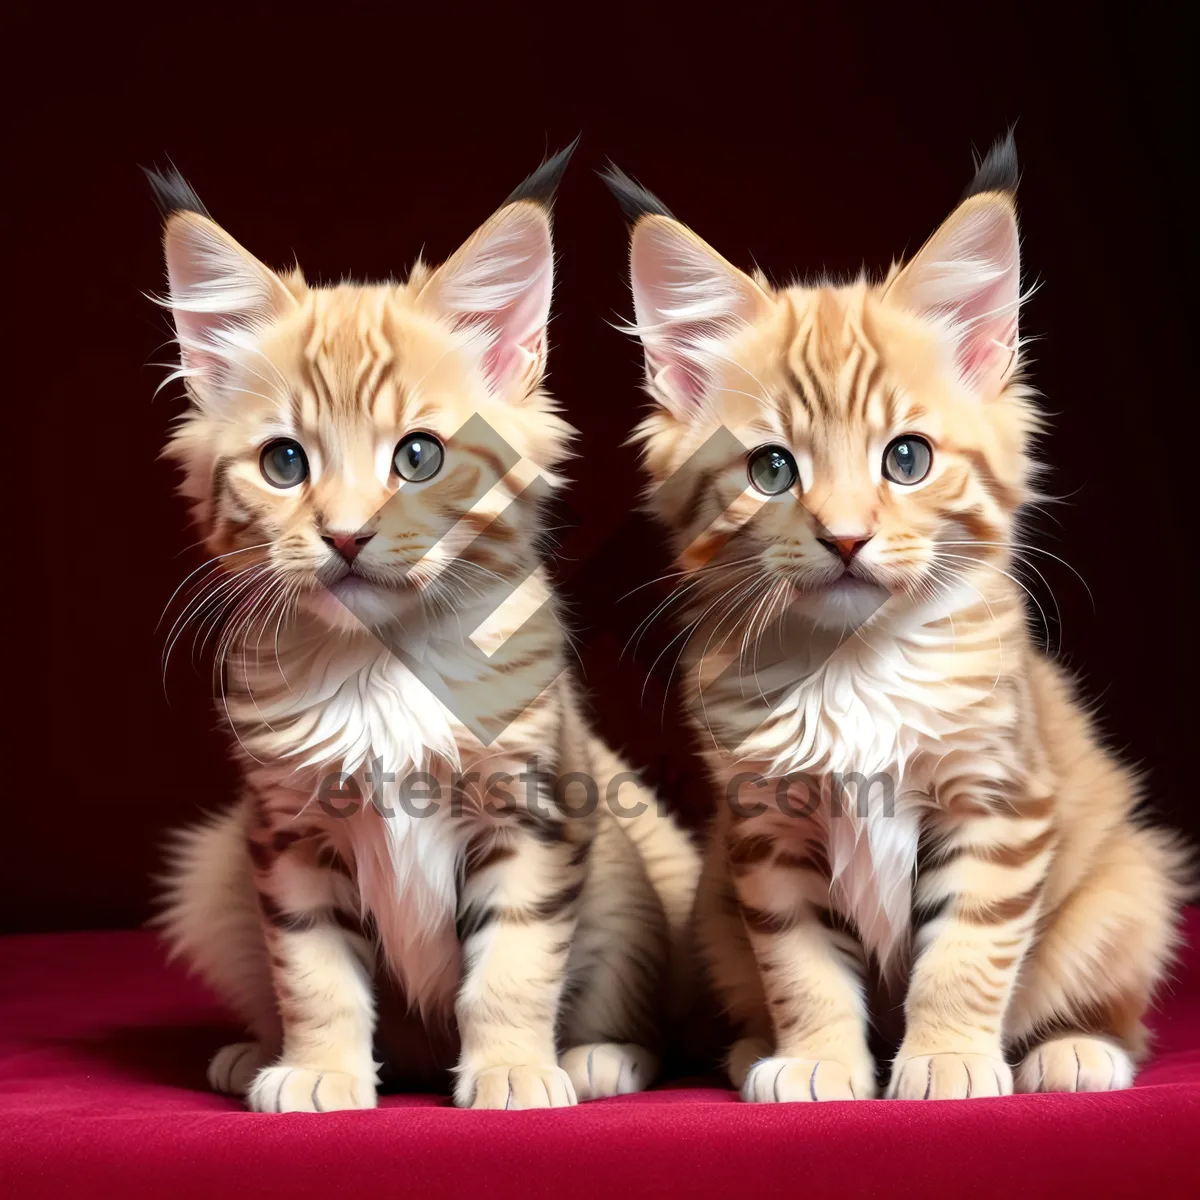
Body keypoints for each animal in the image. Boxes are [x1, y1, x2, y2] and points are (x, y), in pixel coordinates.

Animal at [152, 152, 696, 1113]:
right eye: (284, 463)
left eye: (418, 457)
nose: (345, 536)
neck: (382, 667)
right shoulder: (287, 834)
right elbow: (314, 973)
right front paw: (320, 1070)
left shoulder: (533, 816)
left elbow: (513, 966)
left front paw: (514, 1070)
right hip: (211, 874)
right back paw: (256, 1054)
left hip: (637, 864)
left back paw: (599, 1057)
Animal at [609, 136, 1190, 1099]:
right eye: (772, 470)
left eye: (907, 459)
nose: (845, 537)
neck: (854, 663)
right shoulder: (768, 836)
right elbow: (802, 966)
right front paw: (816, 1058)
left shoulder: (996, 805)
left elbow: (967, 954)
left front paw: (948, 1059)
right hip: (713, 914)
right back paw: (752, 1048)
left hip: (1128, 885)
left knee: (1118, 1010)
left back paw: (1075, 1050)